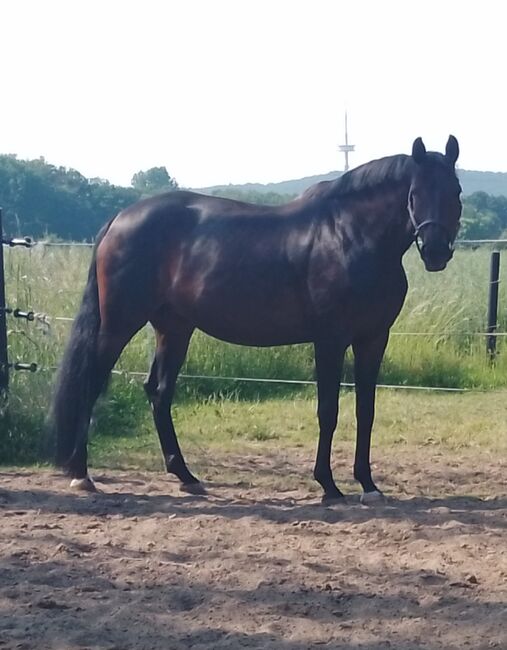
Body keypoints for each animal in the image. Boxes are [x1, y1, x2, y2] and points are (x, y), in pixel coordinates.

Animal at [49, 135, 462, 502]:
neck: (349, 235)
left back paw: (186, 476)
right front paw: (328, 485)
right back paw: (81, 474)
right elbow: (328, 410)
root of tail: (120, 218)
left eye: (455, 192)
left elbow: (366, 411)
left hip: (174, 328)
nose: (435, 252)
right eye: (414, 194)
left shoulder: (373, 339)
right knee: (91, 384)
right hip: (120, 324)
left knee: (158, 392)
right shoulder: (330, 340)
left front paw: (368, 484)